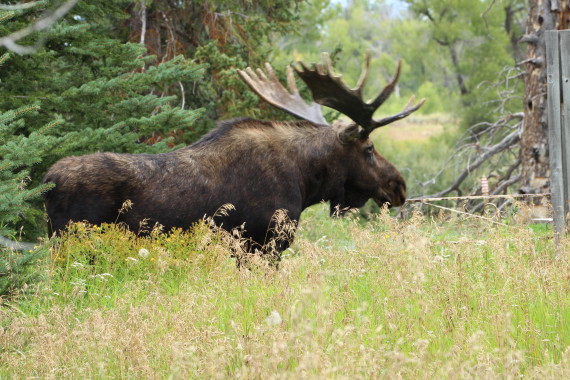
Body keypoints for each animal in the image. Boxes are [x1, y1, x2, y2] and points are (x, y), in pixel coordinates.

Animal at [43, 53, 422, 260]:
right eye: (369, 149)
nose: (400, 186)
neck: (306, 180)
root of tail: (46, 183)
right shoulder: (263, 244)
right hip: (74, 242)